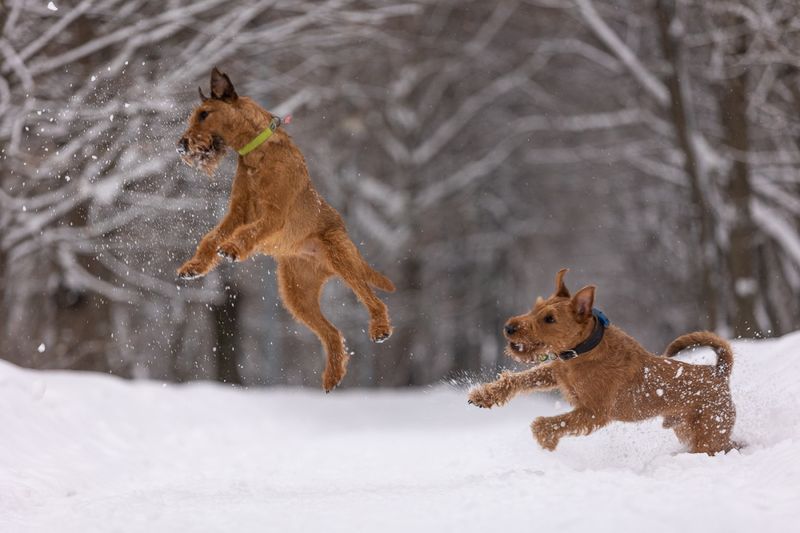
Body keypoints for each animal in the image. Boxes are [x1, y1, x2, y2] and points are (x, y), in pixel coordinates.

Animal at [178, 66, 396, 390]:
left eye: (204, 114)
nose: (181, 145)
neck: (257, 154)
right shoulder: (237, 212)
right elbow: (210, 238)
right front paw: (195, 266)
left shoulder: (274, 215)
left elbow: (248, 233)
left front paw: (232, 249)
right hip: (297, 294)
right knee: (332, 332)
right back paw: (333, 375)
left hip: (341, 258)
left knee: (373, 299)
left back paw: (380, 328)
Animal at [468, 268, 736, 456]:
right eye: (536, 307)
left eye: (550, 318)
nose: (509, 328)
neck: (582, 350)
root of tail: (719, 373)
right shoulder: (556, 374)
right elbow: (520, 379)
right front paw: (484, 395)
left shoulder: (594, 412)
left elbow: (550, 423)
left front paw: (547, 444)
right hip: (685, 429)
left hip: (708, 434)